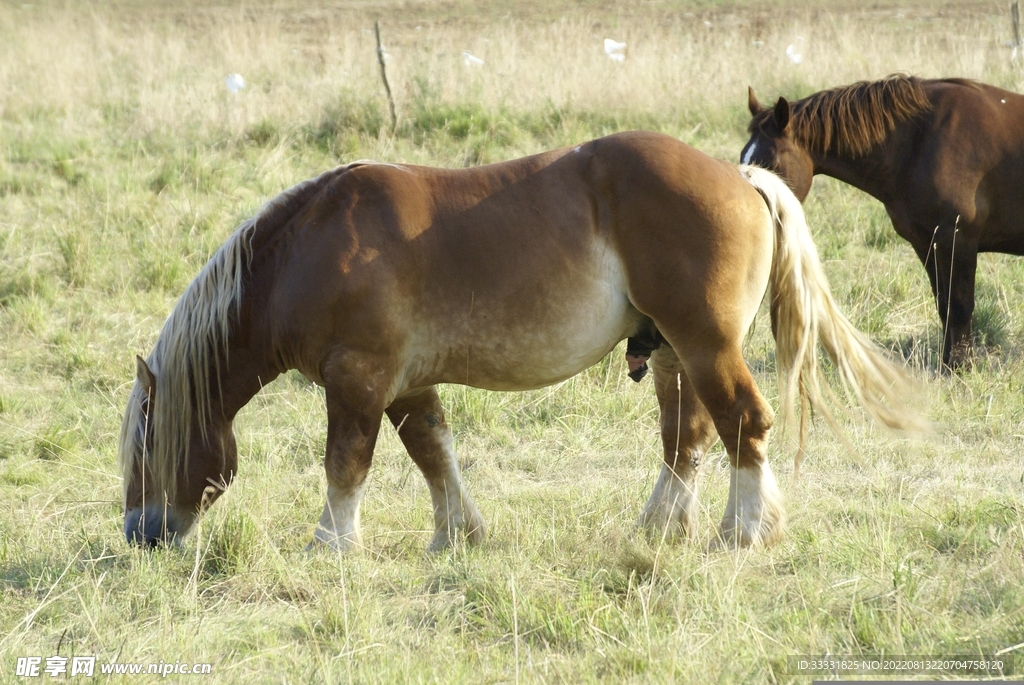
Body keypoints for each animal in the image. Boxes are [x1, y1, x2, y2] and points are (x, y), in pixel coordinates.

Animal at [119, 131, 924, 554]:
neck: (309, 250)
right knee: (686, 439)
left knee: (743, 426)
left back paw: (743, 531)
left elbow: (346, 465)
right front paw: (457, 535)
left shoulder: (359, 381)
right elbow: (434, 453)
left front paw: (332, 546)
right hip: (674, 353)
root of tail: (742, 175)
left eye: (145, 446)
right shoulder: (407, 383)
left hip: (705, 346)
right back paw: (658, 528)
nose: (139, 534)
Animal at [742, 75, 1024, 369]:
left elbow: (959, 305)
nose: (753, 224)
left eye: (771, 166)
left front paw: (960, 365)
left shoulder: (958, 239)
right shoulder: (927, 244)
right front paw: (948, 362)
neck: (922, 140)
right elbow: (944, 305)